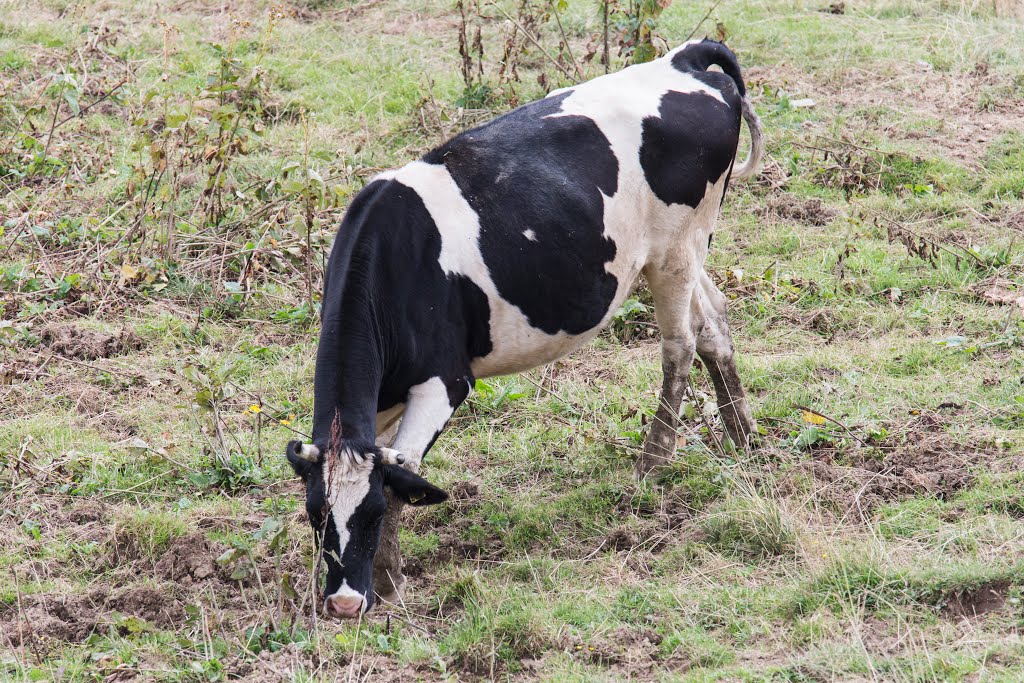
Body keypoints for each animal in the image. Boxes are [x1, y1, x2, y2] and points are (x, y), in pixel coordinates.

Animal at [286, 40, 761, 622]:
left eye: (371, 513)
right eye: (316, 515)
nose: (345, 603)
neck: (395, 258)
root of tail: (683, 58)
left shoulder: (446, 381)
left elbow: (406, 473)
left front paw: (389, 579)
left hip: (674, 249)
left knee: (681, 345)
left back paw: (651, 464)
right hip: (687, 253)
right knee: (714, 322)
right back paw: (742, 436)